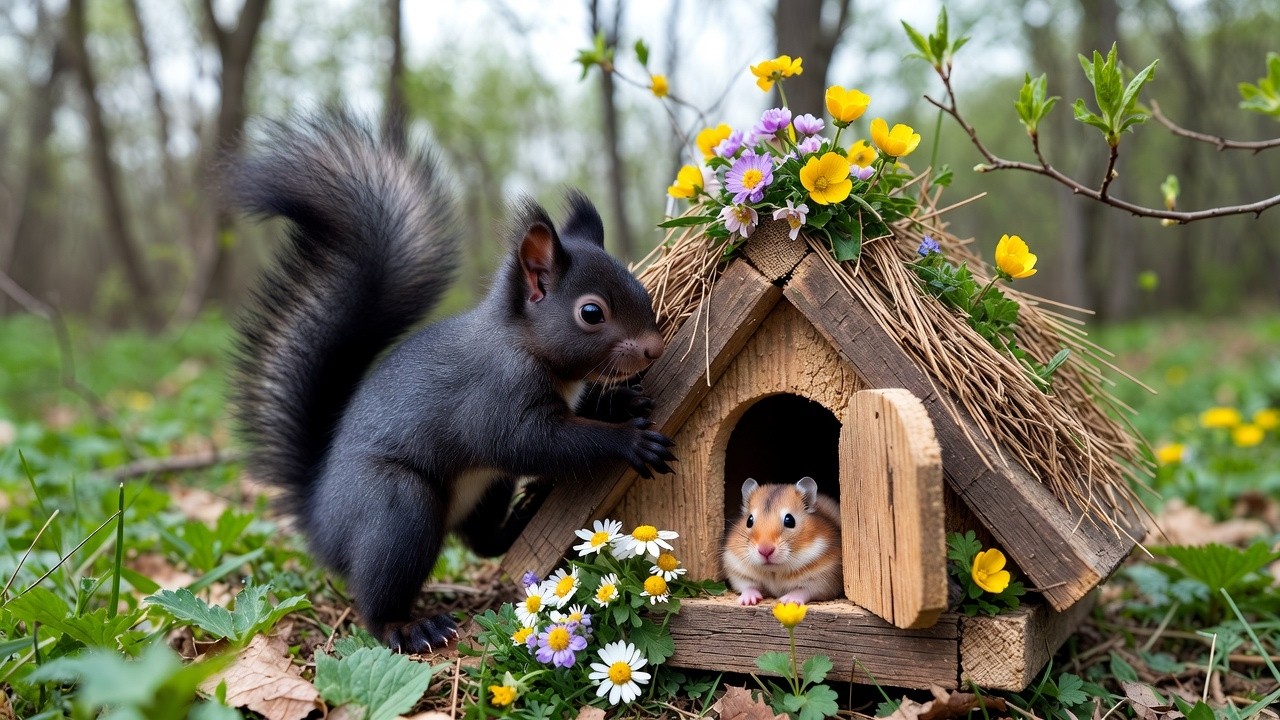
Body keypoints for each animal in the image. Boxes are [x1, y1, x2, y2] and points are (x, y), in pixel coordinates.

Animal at [230, 113, 677, 654]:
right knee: (378, 596)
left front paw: (624, 402)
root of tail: (320, 522)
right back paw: (408, 627)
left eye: (642, 290)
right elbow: (534, 442)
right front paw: (630, 440)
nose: (654, 349)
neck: (523, 343)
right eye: (591, 313)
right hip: (395, 507)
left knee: (481, 541)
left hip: (488, 488)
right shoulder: (496, 397)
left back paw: (521, 522)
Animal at [722, 477, 843, 606]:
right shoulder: (738, 573)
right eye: (749, 521)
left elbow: (803, 590)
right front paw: (747, 601)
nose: (765, 551)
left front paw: (786, 601)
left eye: (789, 520)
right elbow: (748, 586)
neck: (774, 571)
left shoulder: (823, 582)